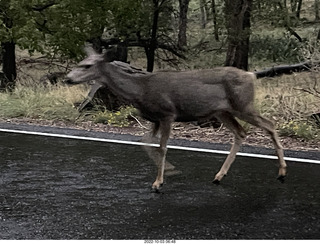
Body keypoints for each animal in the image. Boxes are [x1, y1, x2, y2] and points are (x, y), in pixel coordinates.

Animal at [67, 46, 288, 192]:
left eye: (87, 66)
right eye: (79, 63)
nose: (68, 78)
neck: (140, 90)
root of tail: (251, 75)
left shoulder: (167, 114)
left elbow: (162, 147)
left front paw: (158, 182)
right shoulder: (154, 119)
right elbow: (145, 142)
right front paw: (169, 171)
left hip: (243, 105)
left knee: (270, 124)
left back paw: (282, 172)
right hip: (222, 111)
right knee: (241, 132)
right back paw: (219, 176)